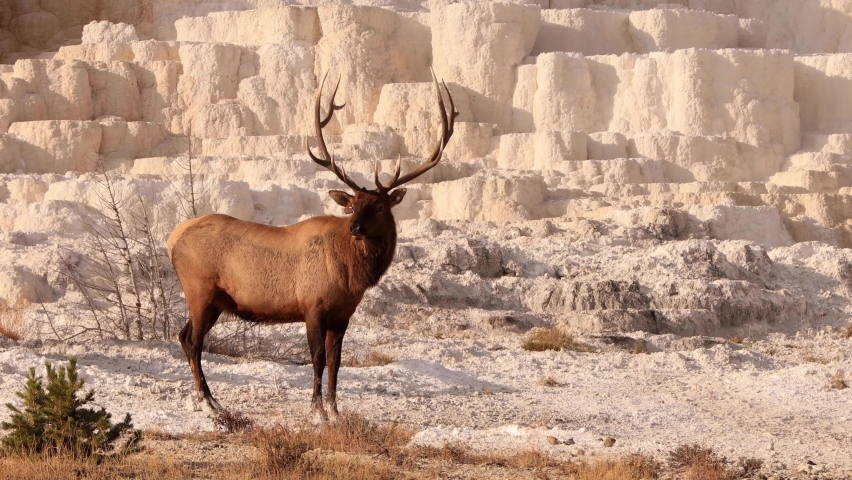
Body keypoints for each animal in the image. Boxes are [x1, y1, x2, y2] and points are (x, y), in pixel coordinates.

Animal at [168, 69, 460, 418]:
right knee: (193, 341)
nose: (355, 227)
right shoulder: (313, 305)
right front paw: (317, 409)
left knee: (184, 336)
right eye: (352, 205)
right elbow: (318, 359)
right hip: (200, 289)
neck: (352, 278)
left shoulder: (342, 315)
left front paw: (335, 409)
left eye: (378, 207)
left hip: (215, 300)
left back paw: (208, 398)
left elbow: (336, 362)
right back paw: (209, 401)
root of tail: (171, 239)